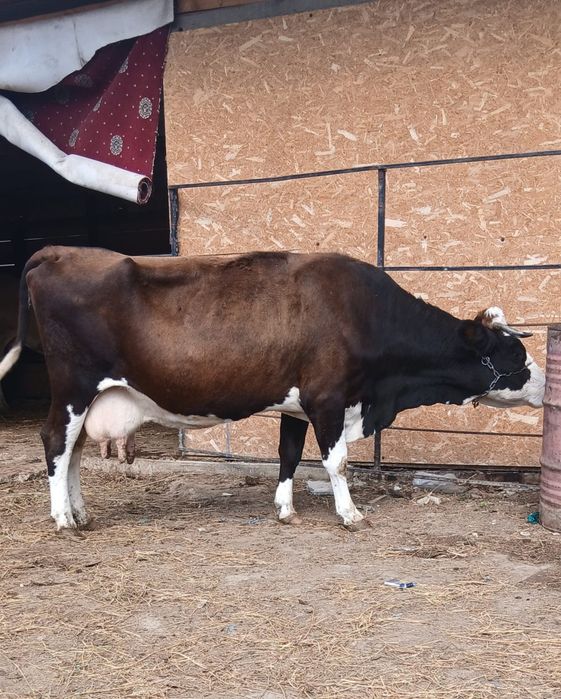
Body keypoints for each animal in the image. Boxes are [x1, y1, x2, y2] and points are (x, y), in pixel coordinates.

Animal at [0, 246, 545, 531]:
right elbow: (336, 461)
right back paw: (63, 519)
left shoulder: (297, 403)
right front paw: (350, 513)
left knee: (71, 452)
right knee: (55, 442)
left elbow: (288, 454)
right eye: (513, 356)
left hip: (89, 396)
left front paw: (284, 509)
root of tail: (61, 252)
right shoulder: (328, 398)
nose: (544, 386)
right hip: (73, 387)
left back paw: (81, 512)